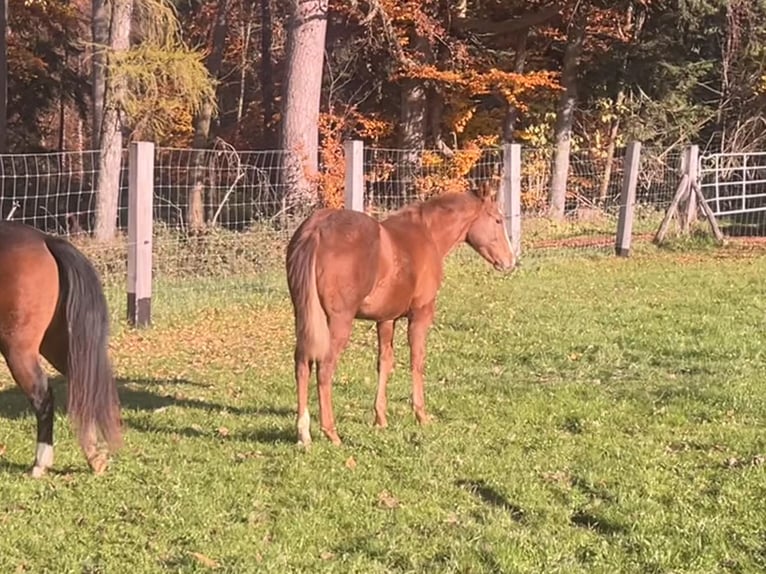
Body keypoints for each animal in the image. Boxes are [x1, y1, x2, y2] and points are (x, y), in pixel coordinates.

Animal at [0, 223, 122, 480]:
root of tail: (45, 240)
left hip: (19, 351)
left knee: (43, 397)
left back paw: (40, 463)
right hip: (59, 345)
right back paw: (94, 457)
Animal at [286, 179, 516, 446]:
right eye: (497, 220)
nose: (510, 261)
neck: (427, 234)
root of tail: (317, 229)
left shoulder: (386, 318)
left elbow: (384, 362)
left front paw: (380, 418)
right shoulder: (421, 314)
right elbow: (417, 360)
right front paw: (421, 415)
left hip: (304, 316)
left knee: (302, 363)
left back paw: (303, 433)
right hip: (338, 321)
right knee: (324, 367)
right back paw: (331, 432)